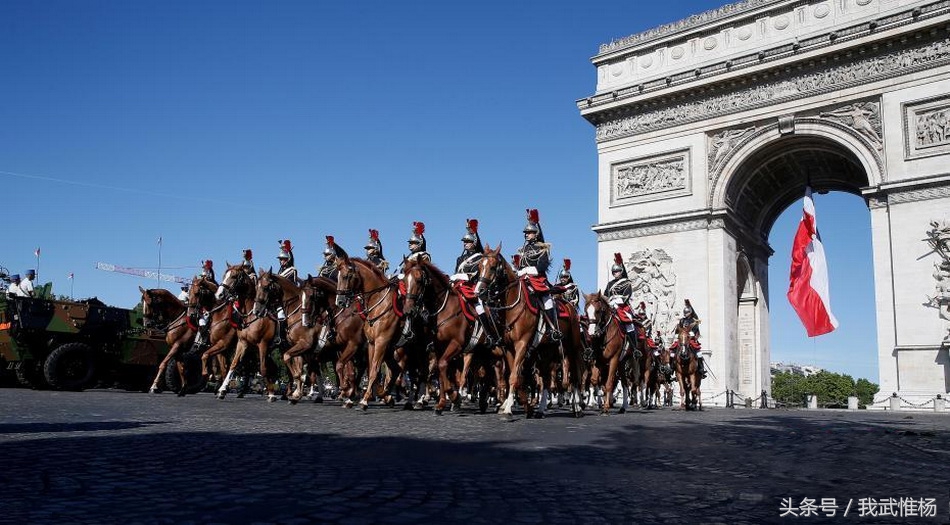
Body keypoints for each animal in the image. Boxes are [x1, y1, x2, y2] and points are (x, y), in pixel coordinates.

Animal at [334, 251, 406, 410]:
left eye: (346, 276)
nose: (340, 301)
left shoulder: (379, 343)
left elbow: (373, 370)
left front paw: (363, 399)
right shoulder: (371, 344)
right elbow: (369, 369)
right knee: (396, 371)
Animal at [472, 243, 584, 418]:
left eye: (492, 267)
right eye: (478, 267)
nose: (478, 292)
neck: (512, 307)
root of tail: (569, 306)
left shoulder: (522, 344)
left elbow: (514, 376)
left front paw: (508, 408)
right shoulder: (508, 348)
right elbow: (515, 376)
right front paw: (514, 404)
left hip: (573, 347)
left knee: (576, 374)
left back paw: (577, 406)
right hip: (546, 351)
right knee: (546, 379)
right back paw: (541, 408)